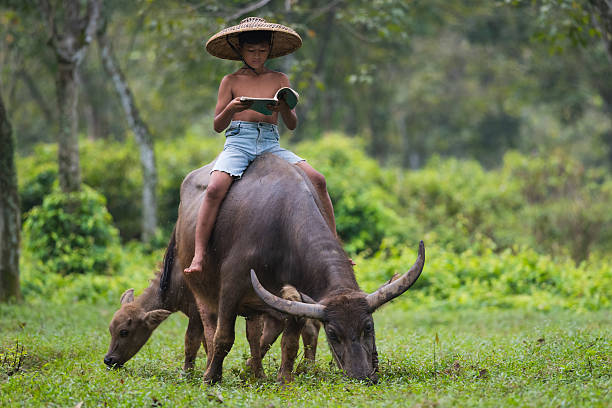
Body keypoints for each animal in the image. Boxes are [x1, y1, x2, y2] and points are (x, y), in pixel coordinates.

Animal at [170, 151, 424, 384]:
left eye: (368, 327)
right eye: (333, 334)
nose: (362, 376)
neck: (281, 224)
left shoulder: (296, 298)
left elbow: (289, 343)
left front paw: (284, 379)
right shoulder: (231, 287)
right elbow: (224, 337)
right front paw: (211, 378)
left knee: (255, 337)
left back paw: (256, 374)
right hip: (201, 289)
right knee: (208, 328)